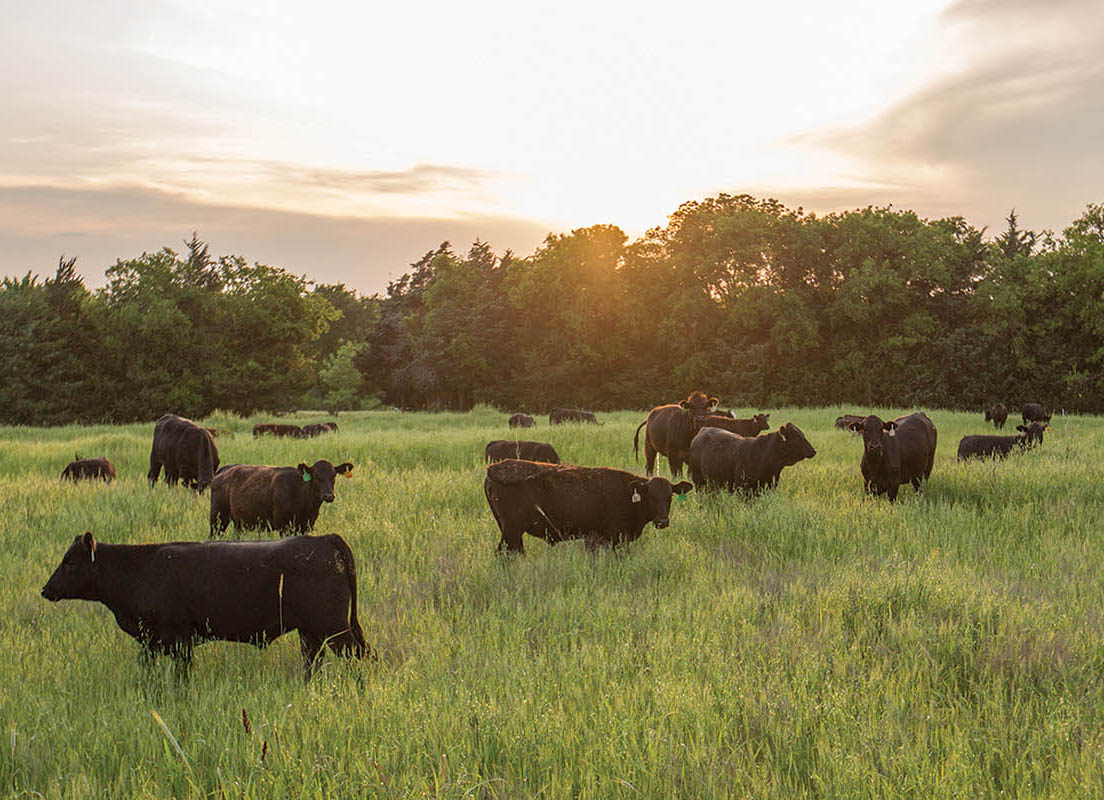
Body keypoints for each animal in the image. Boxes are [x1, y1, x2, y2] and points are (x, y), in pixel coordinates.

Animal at [40, 529, 366, 679]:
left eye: (70, 563)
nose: (46, 589)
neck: (139, 569)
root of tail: (324, 539)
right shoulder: (150, 643)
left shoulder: (180, 640)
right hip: (312, 632)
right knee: (313, 663)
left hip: (335, 629)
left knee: (359, 659)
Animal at [209, 454, 353, 536]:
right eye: (317, 477)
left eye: (333, 476)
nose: (329, 496)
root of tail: (224, 470)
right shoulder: (284, 526)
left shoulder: (307, 526)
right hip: (217, 519)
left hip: (238, 523)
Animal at [483, 459, 688, 551]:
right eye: (651, 496)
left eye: (669, 496)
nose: (662, 522)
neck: (627, 492)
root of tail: (493, 469)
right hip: (512, 531)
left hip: (512, 532)